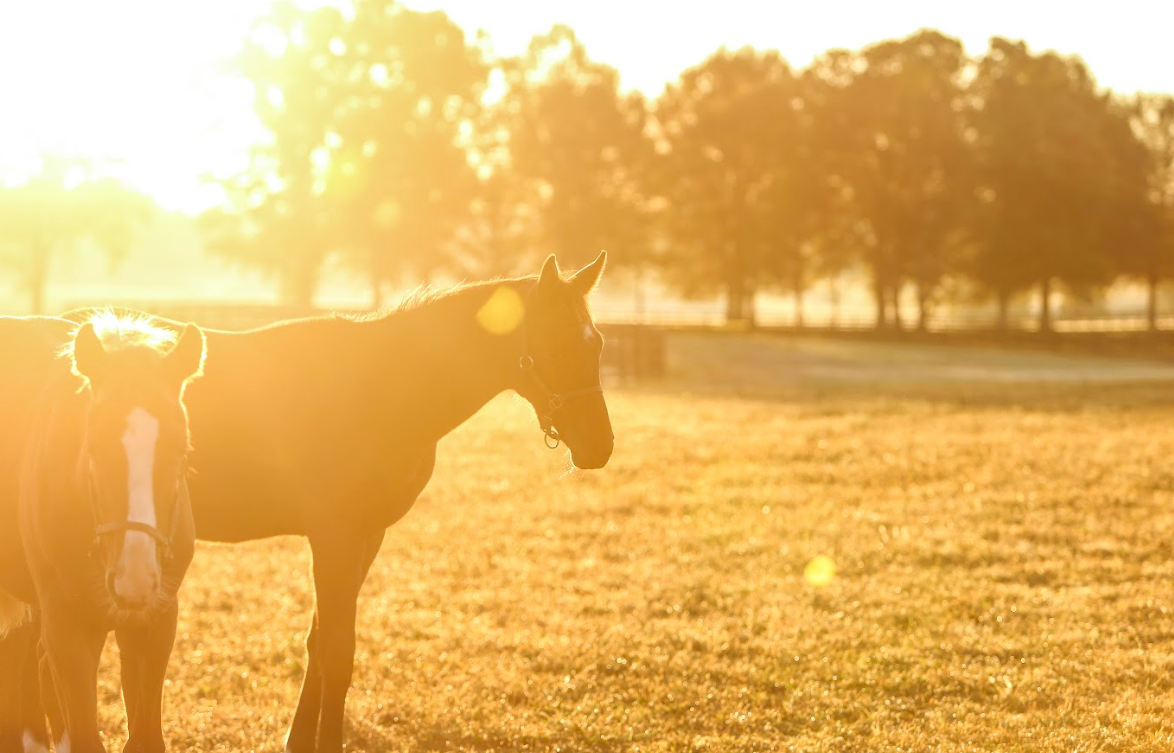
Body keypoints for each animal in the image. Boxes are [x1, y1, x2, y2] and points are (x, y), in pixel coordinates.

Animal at [0, 307, 204, 747]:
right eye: (92, 448)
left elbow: (145, 739)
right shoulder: (68, 631)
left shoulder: (156, 623)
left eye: (181, 451)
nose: (134, 580)